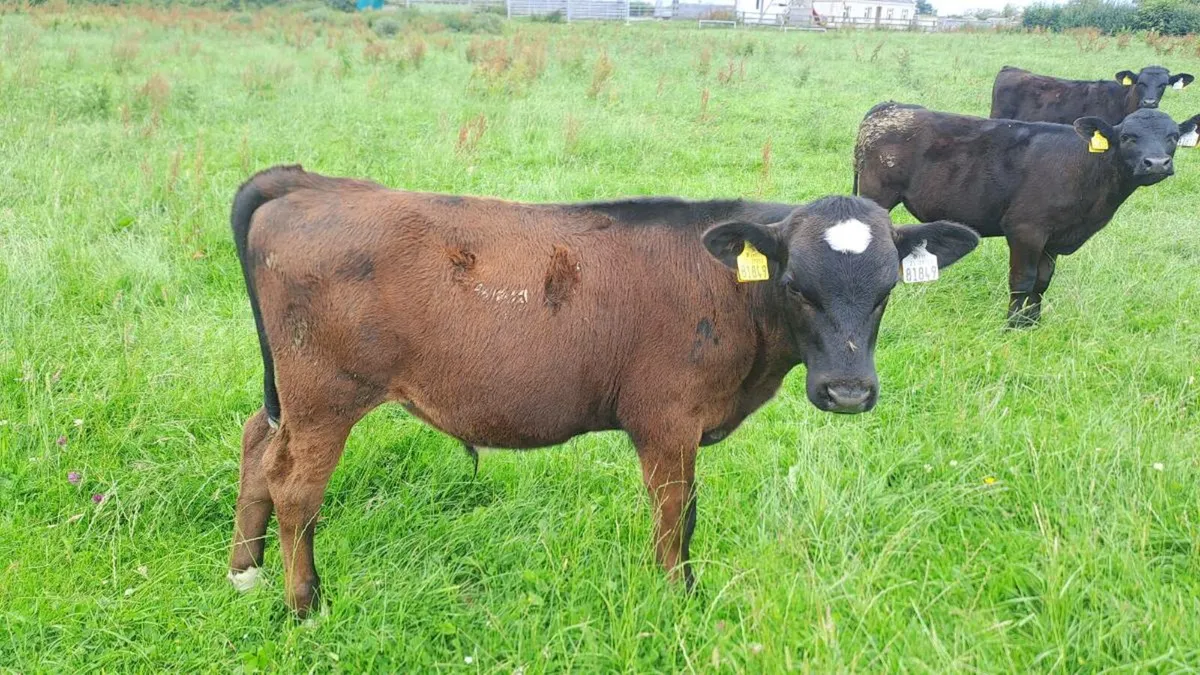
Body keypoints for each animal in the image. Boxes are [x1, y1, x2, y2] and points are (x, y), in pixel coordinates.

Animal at [226, 165, 979, 616]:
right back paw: (305, 602)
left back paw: (245, 570)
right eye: (796, 286)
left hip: (289, 394)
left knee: (256, 444)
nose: (849, 391)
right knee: (295, 486)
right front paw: (678, 597)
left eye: (885, 291)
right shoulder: (668, 420)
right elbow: (677, 516)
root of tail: (308, 182)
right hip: (325, 396)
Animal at [854, 102, 1200, 327]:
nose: (1156, 163)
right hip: (877, 194)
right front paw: (1013, 325)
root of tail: (890, 107)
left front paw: (1033, 323)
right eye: (1128, 137)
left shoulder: (1054, 237)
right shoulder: (1026, 230)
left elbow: (1043, 281)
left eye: (1172, 137)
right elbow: (1023, 279)